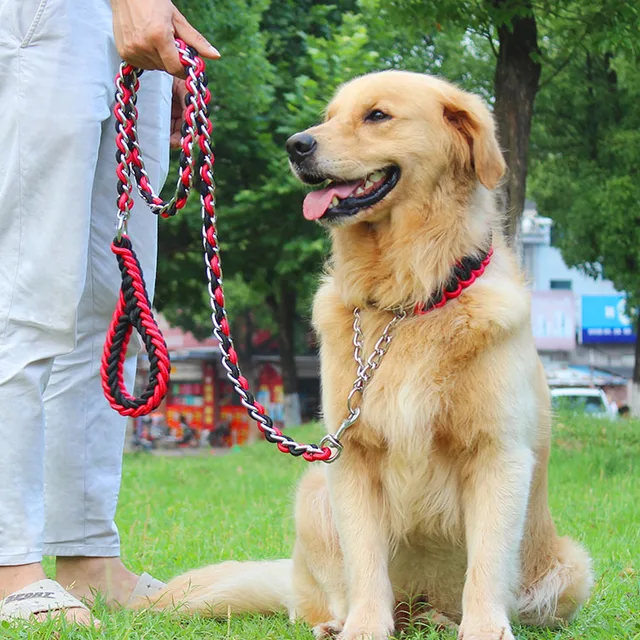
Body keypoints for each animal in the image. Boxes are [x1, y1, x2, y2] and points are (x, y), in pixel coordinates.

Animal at [138, 71, 592, 640]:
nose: (296, 145)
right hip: (314, 492)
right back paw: (339, 622)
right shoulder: (351, 455)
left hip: (574, 570)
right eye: (329, 116)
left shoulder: (497, 453)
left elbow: (487, 565)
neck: (407, 300)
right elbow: (366, 563)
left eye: (377, 115)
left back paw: (439, 617)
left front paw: (485, 628)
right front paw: (363, 628)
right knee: (320, 599)